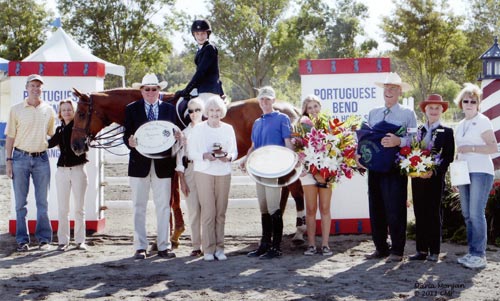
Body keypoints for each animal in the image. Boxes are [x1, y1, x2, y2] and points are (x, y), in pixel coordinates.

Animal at [70, 88, 304, 245]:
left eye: (81, 114)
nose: (75, 146)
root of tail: (291, 108)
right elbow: (172, 197)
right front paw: (172, 235)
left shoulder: (170, 164)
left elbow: (171, 198)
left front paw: (172, 236)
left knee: (296, 191)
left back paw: (300, 233)